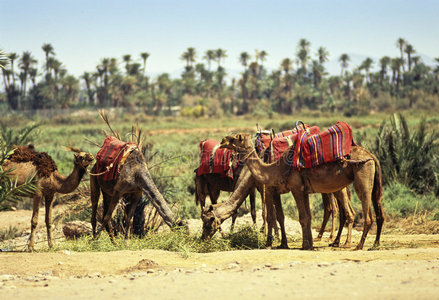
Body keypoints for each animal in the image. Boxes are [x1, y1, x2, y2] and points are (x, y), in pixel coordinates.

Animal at [217, 134, 384, 251]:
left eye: (235, 138)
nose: (222, 141)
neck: (276, 168)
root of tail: (372, 156)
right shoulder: (304, 190)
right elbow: (307, 217)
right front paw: (308, 244)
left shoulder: (294, 188)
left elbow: (299, 217)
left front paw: (302, 245)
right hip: (370, 181)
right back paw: (372, 244)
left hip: (362, 173)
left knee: (364, 208)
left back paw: (357, 245)